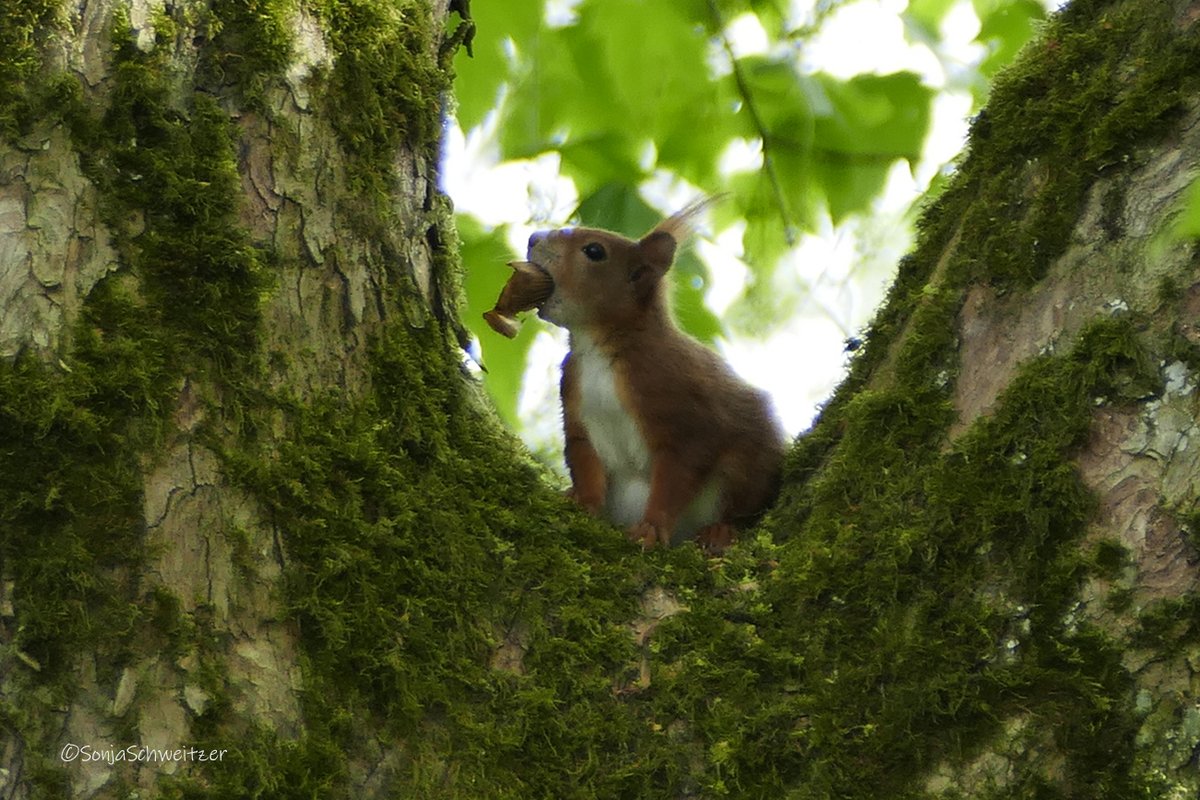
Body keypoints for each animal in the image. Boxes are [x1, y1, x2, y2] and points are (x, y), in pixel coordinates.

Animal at [485, 199, 787, 551]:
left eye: (594, 250)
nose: (534, 238)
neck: (598, 347)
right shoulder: (575, 400)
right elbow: (584, 458)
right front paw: (582, 501)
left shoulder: (680, 403)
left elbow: (679, 472)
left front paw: (651, 528)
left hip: (746, 466)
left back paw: (720, 530)